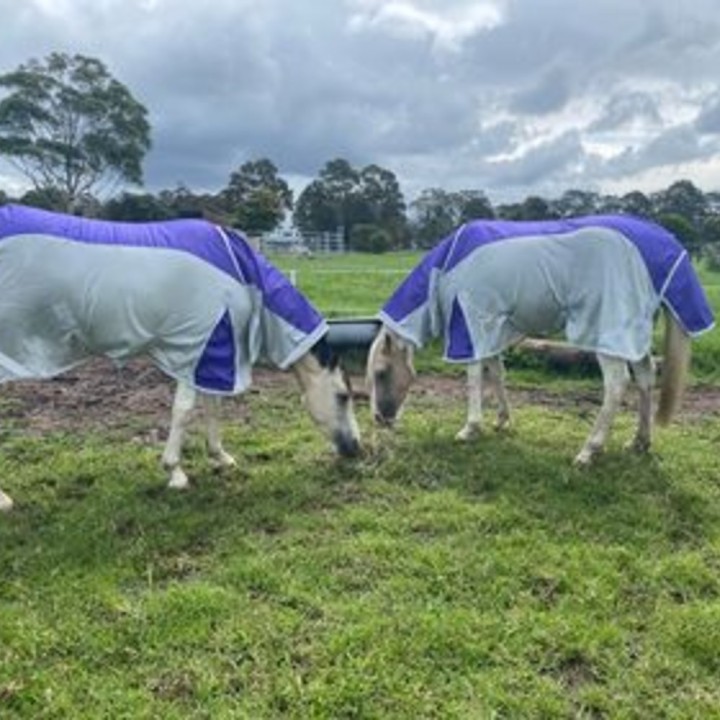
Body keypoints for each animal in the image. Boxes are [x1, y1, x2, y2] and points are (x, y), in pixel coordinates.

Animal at [0, 204, 360, 511]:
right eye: (344, 396)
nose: (356, 449)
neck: (242, 276)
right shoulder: (199, 347)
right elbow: (185, 411)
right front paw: (175, 472)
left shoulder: (216, 355)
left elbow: (213, 406)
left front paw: (220, 457)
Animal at [366, 215, 714, 465]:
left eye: (381, 373)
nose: (380, 419)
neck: (447, 267)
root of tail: (664, 241)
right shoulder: (492, 327)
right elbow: (497, 373)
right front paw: (502, 421)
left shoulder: (471, 321)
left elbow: (475, 377)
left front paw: (470, 428)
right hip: (633, 332)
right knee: (645, 377)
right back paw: (639, 441)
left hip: (609, 331)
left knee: (617, 384)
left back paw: (590, 450)